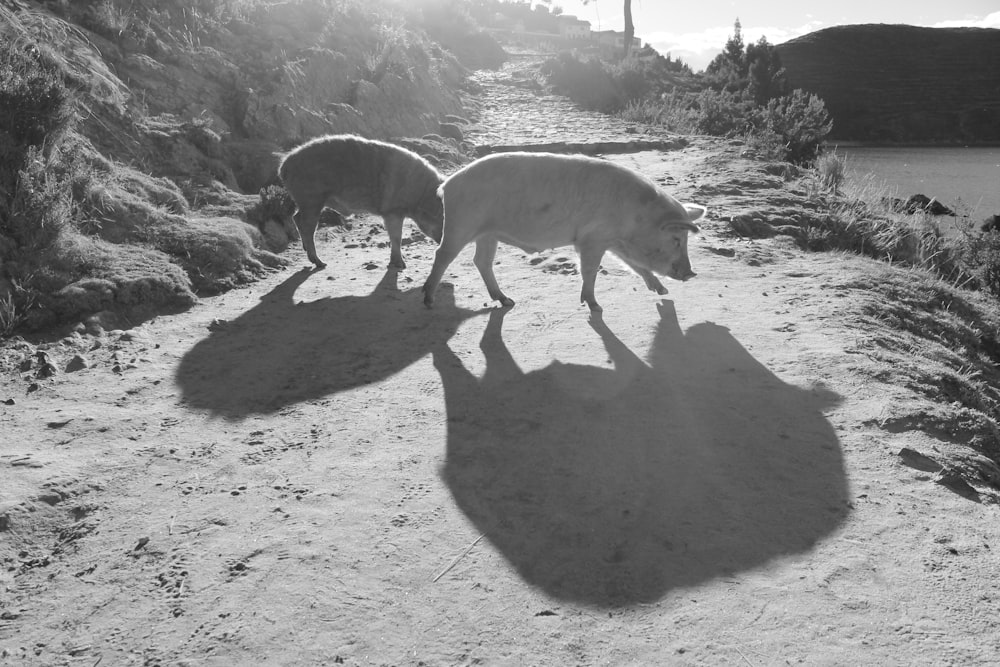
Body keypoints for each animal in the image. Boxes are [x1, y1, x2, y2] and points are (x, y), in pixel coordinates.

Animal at [278, 134, 442, 270]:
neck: (420, 194)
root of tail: (283, 166)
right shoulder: (392, 211)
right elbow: (396, 237)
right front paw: (401, 265)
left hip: (307, 201)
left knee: (296, 217)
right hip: (311, 199)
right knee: (306, 226)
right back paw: (320, 263)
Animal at [420, 151, 704, 314]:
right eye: (676, 239)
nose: (691, 273)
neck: (635, 217)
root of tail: (447, 184)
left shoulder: (612, 241)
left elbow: (635, 265)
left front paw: (663, 292)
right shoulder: (591, 239)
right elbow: (590, 270)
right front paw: (595, 306)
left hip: (487, 234)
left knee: (481, 261)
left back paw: (507, 301)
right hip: (461, 224)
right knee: (442, 255)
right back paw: (429, 300)